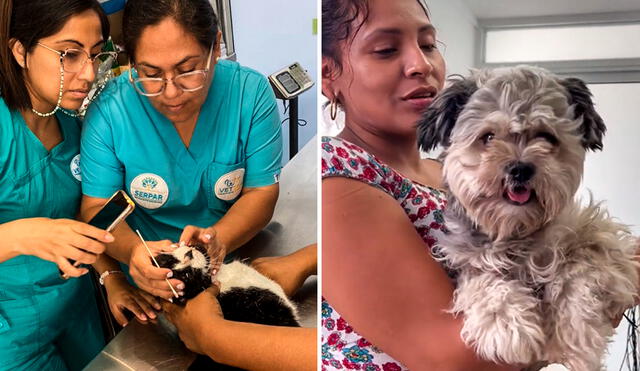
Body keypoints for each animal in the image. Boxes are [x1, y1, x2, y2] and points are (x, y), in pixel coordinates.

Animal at [418, 65, 636, 370]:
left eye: (546, 137)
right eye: (488, 137)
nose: (520, 169)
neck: (518, 231)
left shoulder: (602, 237)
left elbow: (579, 267)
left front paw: (572, 336)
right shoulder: (467, 258)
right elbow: (484, 281)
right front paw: (508, 326)